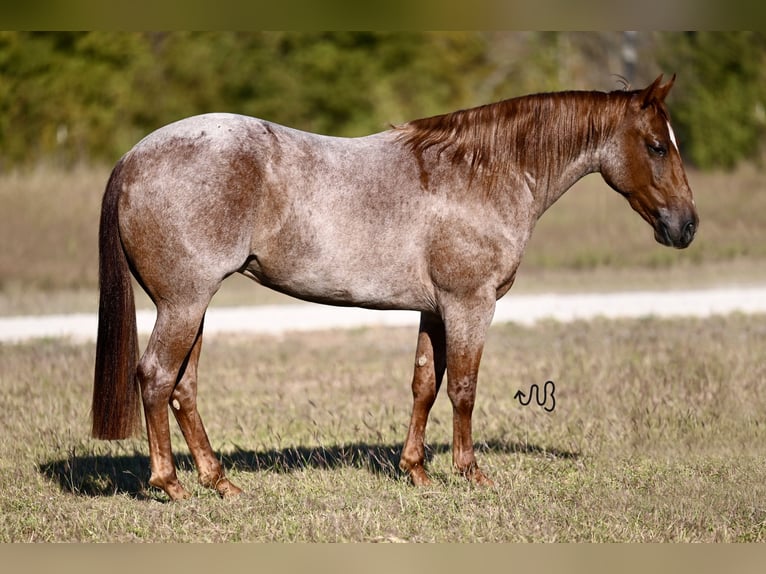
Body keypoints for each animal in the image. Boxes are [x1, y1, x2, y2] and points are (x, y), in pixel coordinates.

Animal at [93, 75, 700, 500]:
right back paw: (170, 484)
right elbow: (464, 389)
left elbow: (425, 386)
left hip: (194, 307)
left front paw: (417, 472)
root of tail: (133, 157)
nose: (686, 226)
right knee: (156, 378)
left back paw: (219, 482)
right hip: (183, 303)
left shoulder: (435, 311)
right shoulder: (469, 305)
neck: (481, 173)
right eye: (656, 145)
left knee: (183, 388)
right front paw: (470, 473)